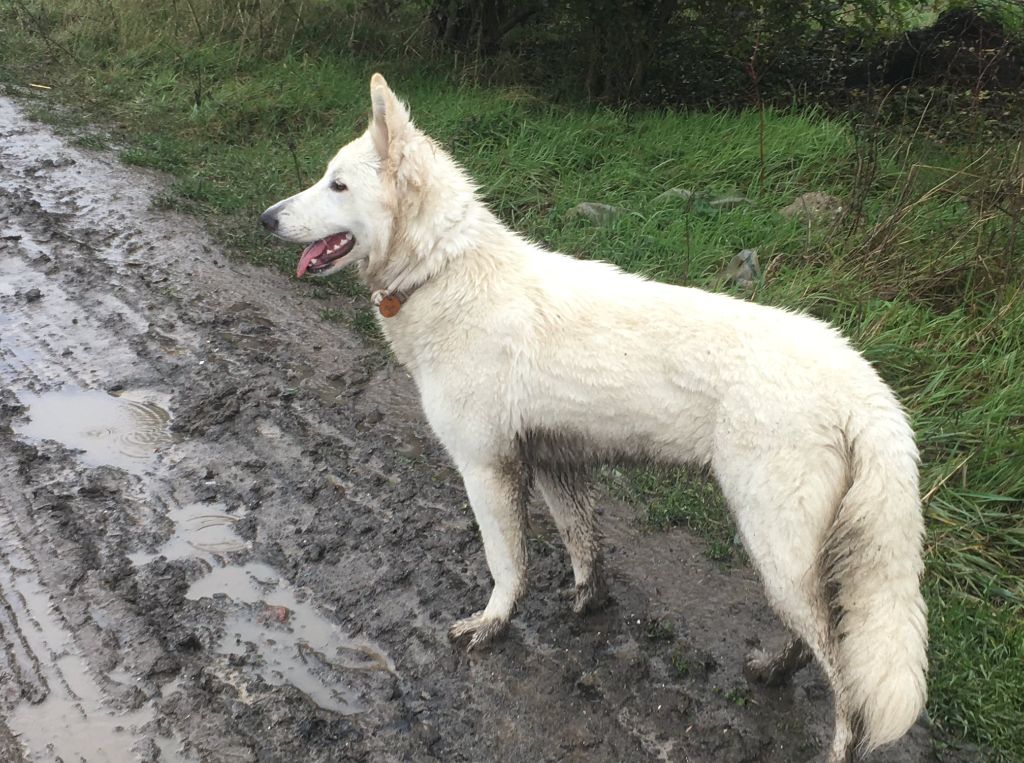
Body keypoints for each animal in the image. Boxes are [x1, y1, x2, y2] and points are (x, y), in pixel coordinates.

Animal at [260, 74, 928, 762]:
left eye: (337, 185)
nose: (266, 218)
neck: (443, 270)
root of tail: (864, 383)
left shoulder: (486, 470)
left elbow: (507, 566)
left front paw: (493, 624)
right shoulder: (556, 463)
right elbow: (583, 546)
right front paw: (588, 603)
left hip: (776, 547)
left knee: (844, 678)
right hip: (789, 559)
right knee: (815, 644)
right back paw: (771, 670)